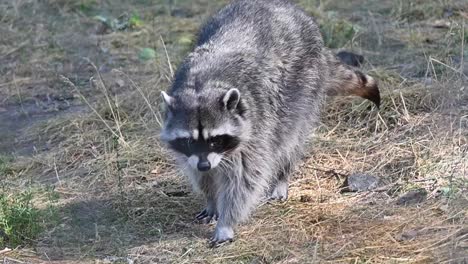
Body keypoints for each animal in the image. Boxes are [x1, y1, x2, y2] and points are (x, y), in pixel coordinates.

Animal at [159, 0, 378, 248]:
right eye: (189, 141)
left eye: (216, 140)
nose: (205, 164)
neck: (202, 85)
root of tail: (281, 5)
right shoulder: (192, 154)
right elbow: (201, 175)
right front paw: (211, 199)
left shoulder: (255, 128)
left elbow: (244, 180)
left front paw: (226, 222)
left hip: (303, 88)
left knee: (289, 141)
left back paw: (282, 176)